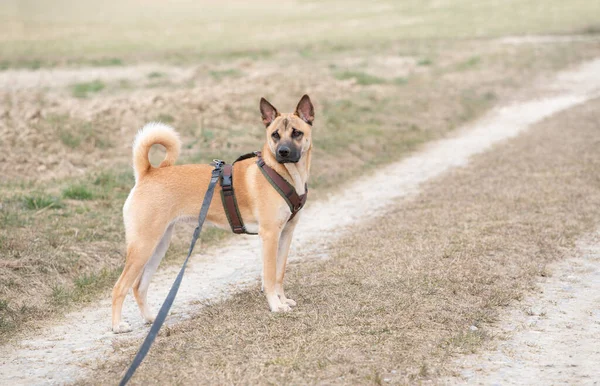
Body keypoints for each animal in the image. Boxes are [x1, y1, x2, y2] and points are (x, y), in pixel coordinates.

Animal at [110, 94, 314, 332]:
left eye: (297, 133)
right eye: (275, 135)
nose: (283, 152)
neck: (281, 172)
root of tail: (148, 173)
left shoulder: (286, 234)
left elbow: (279, 274)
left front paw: (282, 300)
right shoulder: (270, 235)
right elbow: (270, 276)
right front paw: (275, 305)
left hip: (158, 245)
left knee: (139, 286)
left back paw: (151, 318)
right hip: (143, 245)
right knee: (120, 287)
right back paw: (117, 325)